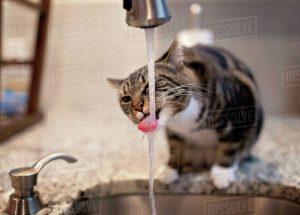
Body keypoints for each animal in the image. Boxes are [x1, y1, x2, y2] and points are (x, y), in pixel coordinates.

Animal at [107, 40, 262, 188]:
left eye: (149, 86)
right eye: (126, 99)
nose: (137, 106)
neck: (182, 118)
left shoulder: (238, 112)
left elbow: (229, 145)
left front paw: (222, 173)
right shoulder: (173, 132)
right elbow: (175, 147)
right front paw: (170, 170)